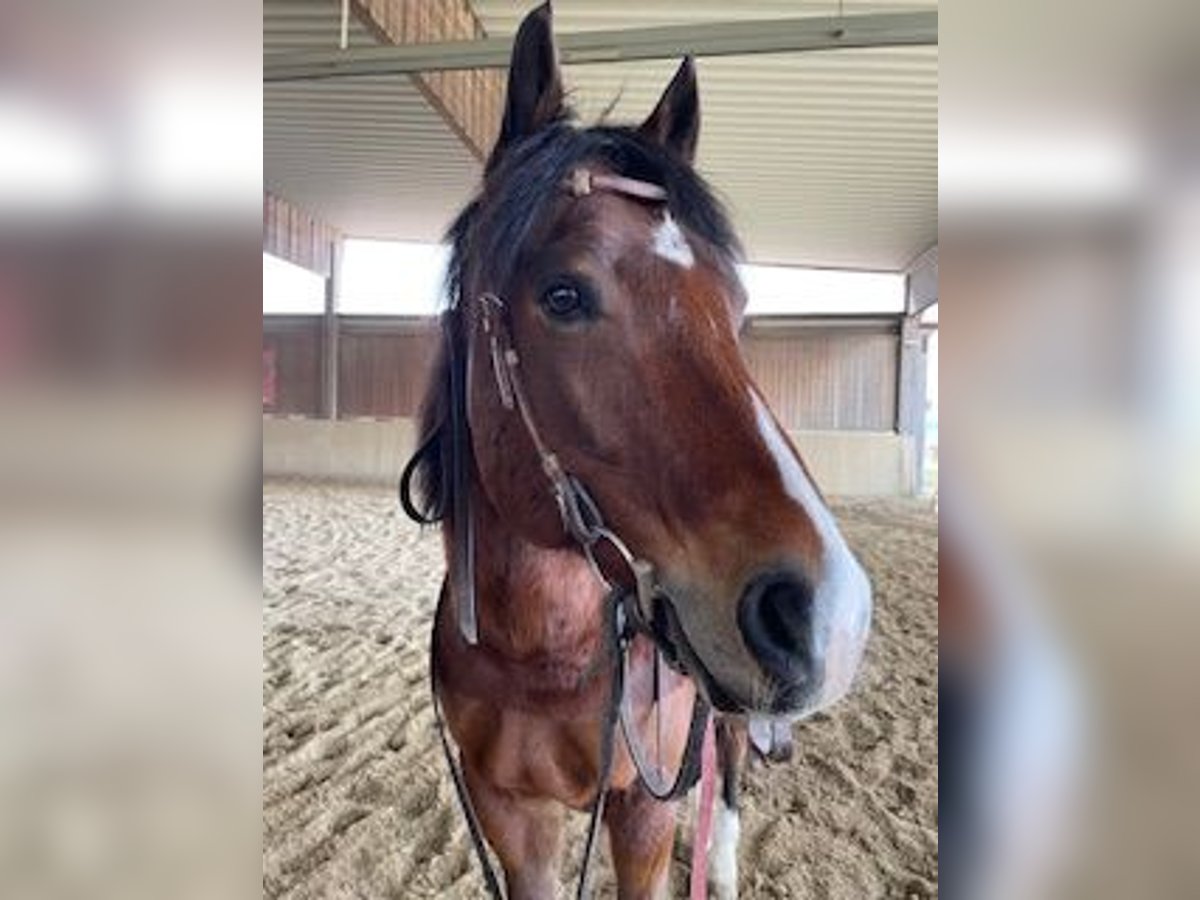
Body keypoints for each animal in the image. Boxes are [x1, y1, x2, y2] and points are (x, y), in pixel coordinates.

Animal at [400, 5, 872, 898]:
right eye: (563, 295)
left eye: (738, 305)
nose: (827, 613)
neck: (543, 659)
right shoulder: (510, 814)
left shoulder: (644, 809)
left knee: (732, 756)